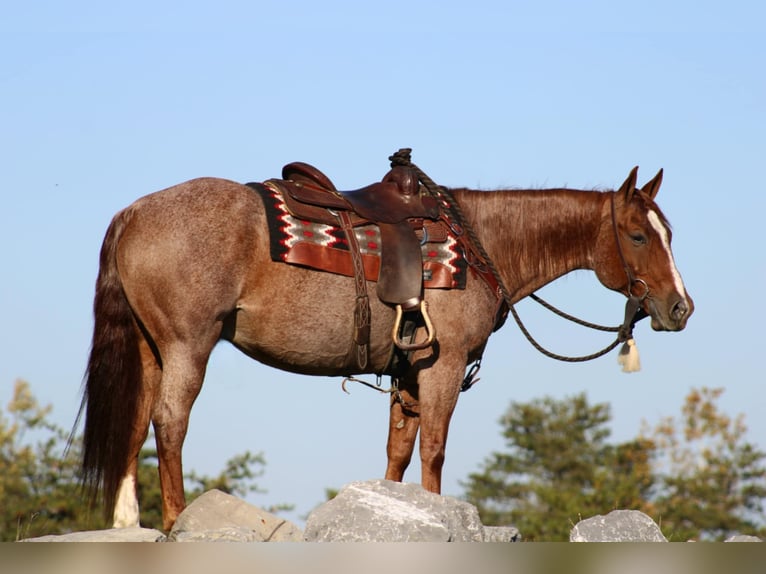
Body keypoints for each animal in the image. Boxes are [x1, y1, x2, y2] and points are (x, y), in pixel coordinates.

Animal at [76, 158, 696, 532]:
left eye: (669, 234)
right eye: (638, 236)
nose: (680, 308)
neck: (481, 244)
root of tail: (133, 213)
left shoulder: (406, 374)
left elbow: (396, 455)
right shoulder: (443, 369)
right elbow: (434, 450)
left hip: (150, 349)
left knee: (135, 422)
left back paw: (127, 524)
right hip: (188, 344)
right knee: (170, 421)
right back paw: (177, 520)